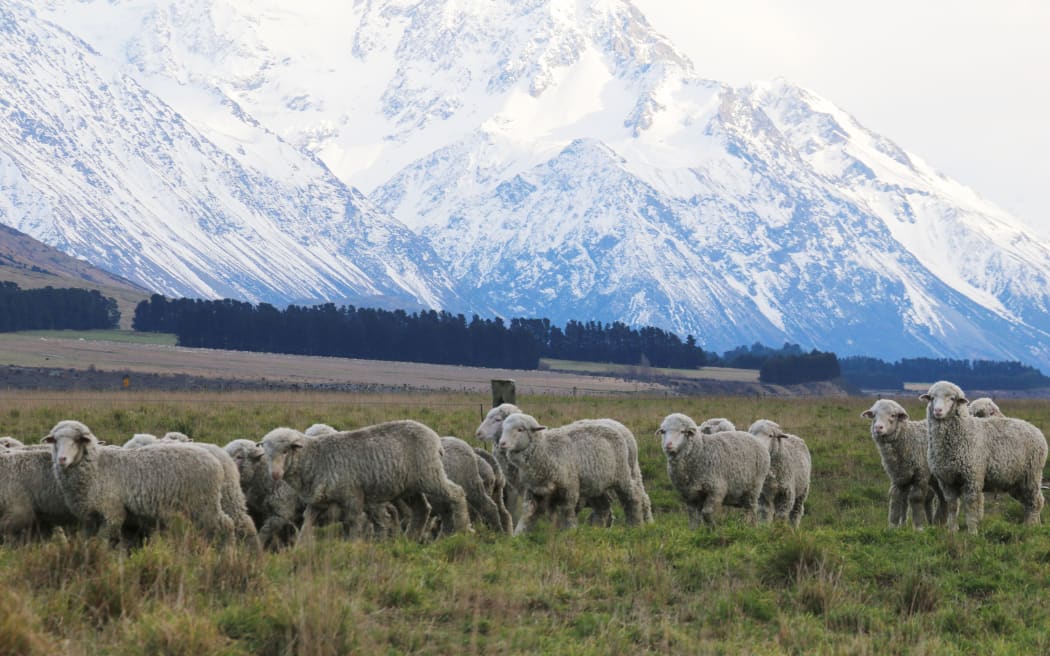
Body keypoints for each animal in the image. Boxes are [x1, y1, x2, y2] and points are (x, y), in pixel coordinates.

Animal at [43, 419, 234, 541]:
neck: (98, 468)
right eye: (55, 441)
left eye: (77, 441)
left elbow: (103, 543)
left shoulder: (112, 512)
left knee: (227, 526)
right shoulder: (90, 517)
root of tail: (216, 461)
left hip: (205, 504)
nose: (62, 459)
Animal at [258, 421, 468, 541]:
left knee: (457, 493)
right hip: (410, 486)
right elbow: (306, 525)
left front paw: (352, 546)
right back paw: (410, 538)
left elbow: (353, 522)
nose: (275, 475)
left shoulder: (352, 495)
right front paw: (299, 549)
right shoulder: (317, 502)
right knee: (422, 509)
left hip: (430, 475)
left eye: (286, 451)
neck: (315, 457)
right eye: (266, 454)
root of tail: (435, 437)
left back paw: (464, 528)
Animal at [495, 411, 642, 535]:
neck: (546, 450)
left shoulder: (569, 488)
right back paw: (598, 530)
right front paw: (519, 535)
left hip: (622, 476)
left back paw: (635, 525)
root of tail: (616, 427)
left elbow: (567, 512)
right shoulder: (534, 490)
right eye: (503, 428)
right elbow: (528, 513)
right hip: (596, 485)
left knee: (633, 497)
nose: (502, 443)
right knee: (603, 508)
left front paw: (570, 531)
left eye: (520, 429)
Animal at [860, 396, 944, 528]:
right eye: (873, 415)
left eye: (893, 415)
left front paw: (919, 526)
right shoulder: (898, 476)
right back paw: (939, 522)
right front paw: (894, 526)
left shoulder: (921, 474)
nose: (878, 427)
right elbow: (896, 498)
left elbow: (916, 498)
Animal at [923, 382, 1045, 528]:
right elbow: (952, 506)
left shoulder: (972, 477)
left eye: (952, 398)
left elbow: (971, 507)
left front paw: (972, 531)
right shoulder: (946, 480)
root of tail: (1035, 429)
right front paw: (952, 530)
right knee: (1029, 503)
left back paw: (1030, 527)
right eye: (932, 398)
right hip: (1015, 480)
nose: (938, 411)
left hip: (1031, 475)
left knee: (1036, 502)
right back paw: (1032, 525)